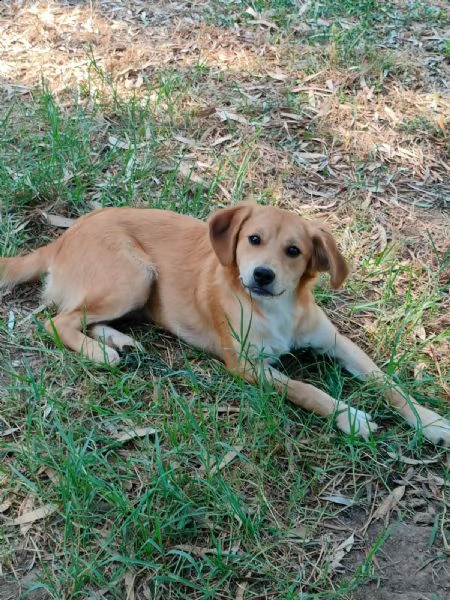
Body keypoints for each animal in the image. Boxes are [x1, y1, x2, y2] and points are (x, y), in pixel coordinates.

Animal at [0, 205, 450, 446]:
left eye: (294, 251)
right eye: (253, 239)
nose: (263, 275)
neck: (276, 308)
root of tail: (64, 235)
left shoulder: (336, 342)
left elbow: (386, 381)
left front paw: (428, 420)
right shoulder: (246, 365)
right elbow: (306, 389)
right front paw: (350, 417)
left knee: (83, 318)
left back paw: (119, 342)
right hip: (133, 277)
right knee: (57, 322)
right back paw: (101, 353)